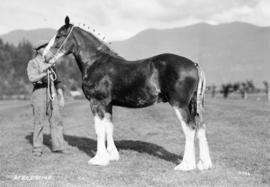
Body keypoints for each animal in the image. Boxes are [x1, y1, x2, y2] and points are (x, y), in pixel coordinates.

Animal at [44, 16, 212, 170]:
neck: (96, 62)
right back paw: (204, 164)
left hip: (179, 104)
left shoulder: (96, 102)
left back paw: (186, 165)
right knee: (201, 127)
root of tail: (194, 64)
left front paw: (99, 159)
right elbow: (108, 127)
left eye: (59, 36)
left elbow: (99, 129)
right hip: (194, 104)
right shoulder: (108, 104)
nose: (45, 57)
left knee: (189, 128)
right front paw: (112, 156)